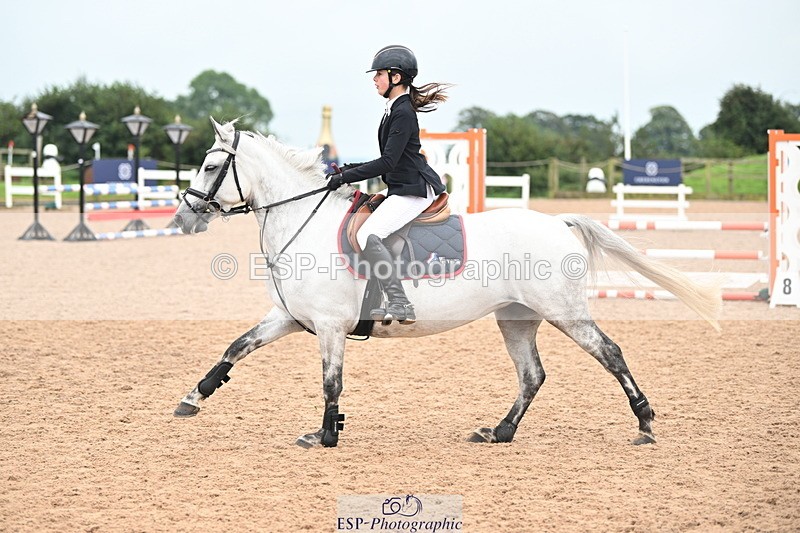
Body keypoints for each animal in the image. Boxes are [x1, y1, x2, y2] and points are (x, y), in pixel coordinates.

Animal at [172, 118, 721, 448]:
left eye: (212, 164)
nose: (184, 217)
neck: (302, 222)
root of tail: (558, 222)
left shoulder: (328, 326)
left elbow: (331, 381)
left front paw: (325, 435)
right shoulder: (290, 318)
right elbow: (236, 347)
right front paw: (193, 398)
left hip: (564, 312)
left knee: (609, 353)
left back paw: (645, 423)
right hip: (516, 318)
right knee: (532, 375)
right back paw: (499, 431)